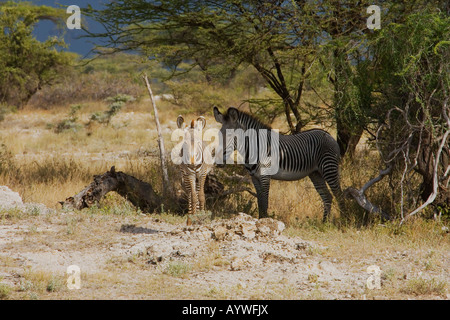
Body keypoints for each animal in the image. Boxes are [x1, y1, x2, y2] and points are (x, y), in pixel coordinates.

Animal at [213, 106, 342, 221]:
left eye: (230, 135)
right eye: (218, 135)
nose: (218, 161)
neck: (254, 148)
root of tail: (329, 135)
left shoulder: (265, 175)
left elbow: (265, 202)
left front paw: (265, 222)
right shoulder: (254, 178)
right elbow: (260, 202)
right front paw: (261, 220)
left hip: (328, 168)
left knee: (339, 195)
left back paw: (343, 221)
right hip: (315, 173)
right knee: (327, 196)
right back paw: (324, 223)